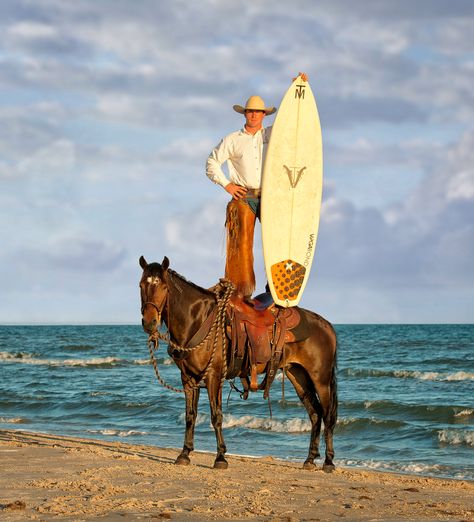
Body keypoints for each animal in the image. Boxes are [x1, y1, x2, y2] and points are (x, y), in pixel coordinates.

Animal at [139, 254, 338, 470]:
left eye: (163, 287)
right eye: (141, 285)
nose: (149, 322)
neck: (197, 320)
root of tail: (327, 326)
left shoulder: (213, 376)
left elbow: (216, 415)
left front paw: (220, 457)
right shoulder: (188, 379)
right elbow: (190, 416)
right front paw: (184, 454)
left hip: (321, 380)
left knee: (327, 415)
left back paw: (328, 462)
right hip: (298, 376)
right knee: (315, 414)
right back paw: (309, 459)